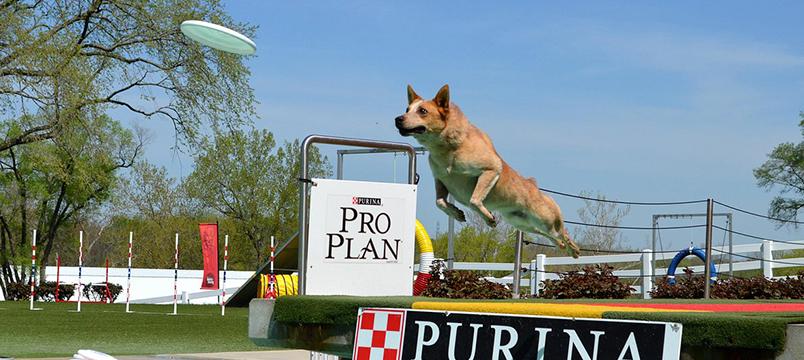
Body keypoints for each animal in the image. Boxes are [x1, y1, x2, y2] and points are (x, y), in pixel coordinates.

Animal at [396, 84, 576, 258]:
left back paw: (573, 249)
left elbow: (474, 200)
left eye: (423, 111)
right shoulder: (440, 179)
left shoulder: (492, 168)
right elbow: (439, 202)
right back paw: (562, 246)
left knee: (562, 232)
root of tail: (534, 187)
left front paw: (490, 218)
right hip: (522, 222)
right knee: (546, 234)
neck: (448, 148)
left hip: (546, 218)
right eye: (407, 109)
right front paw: (457, 213)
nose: (398, 119)